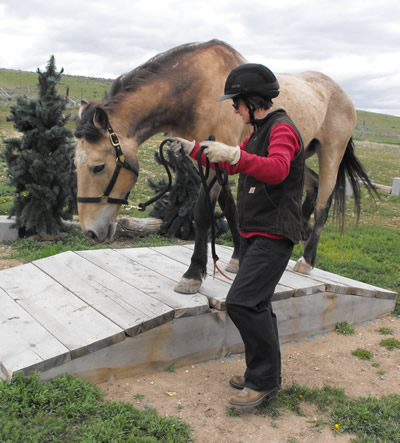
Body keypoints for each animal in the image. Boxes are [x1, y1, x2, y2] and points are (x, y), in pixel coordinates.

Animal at [76, 39, 378, 294]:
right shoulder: (210, 160)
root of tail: (341, 93)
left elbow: (203, 214)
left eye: (98, 167)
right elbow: (231, 208)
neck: (197, 89)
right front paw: (237, 257)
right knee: (311, 187)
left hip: (331, 154)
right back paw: (298, 231)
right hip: (300, 156)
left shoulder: (216, 159)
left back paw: (306, 259)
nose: (90, 232)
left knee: (324, 204)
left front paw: (194, 274)